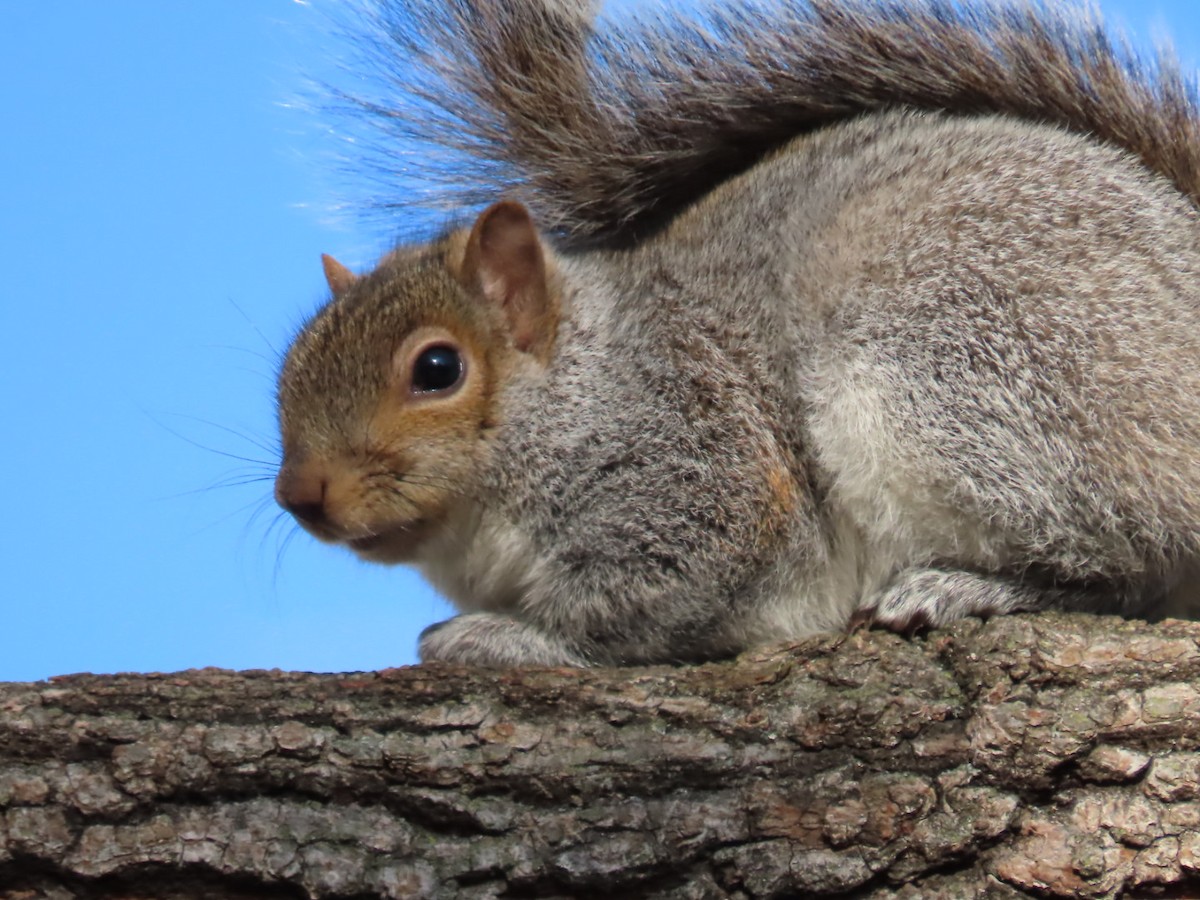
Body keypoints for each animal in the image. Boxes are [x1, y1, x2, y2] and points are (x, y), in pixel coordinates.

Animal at [274, 0, 1200, 667]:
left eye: (437, 368)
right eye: (286, 375)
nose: (299, 495)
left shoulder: (699, 466)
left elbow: (635, 609)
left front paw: (500, 637)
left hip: (956, 376)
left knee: (1136, 563)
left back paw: (966, 587)